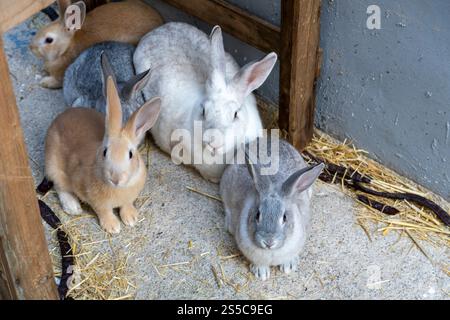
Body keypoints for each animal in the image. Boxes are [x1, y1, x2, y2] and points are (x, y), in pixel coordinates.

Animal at [45, 53, 161, 234]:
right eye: (105, 152)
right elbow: (103, 211)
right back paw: (73, 207)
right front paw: (113, 227)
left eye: (130, 154)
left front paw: (131, 218)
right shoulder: (97, 202)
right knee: (60, 186)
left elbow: (126, 204)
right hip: (53, 166)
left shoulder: (128, 199)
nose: (115, 178)